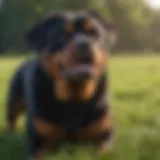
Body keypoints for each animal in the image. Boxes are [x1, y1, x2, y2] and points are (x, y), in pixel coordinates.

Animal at [6, 10, 116, 159]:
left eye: (94, 33)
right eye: (62, 34)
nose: (84, 43)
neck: (73, 100)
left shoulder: (104, 135)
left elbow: (102, 151)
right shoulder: (38, 143)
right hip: (14, 101)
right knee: (12, 119)